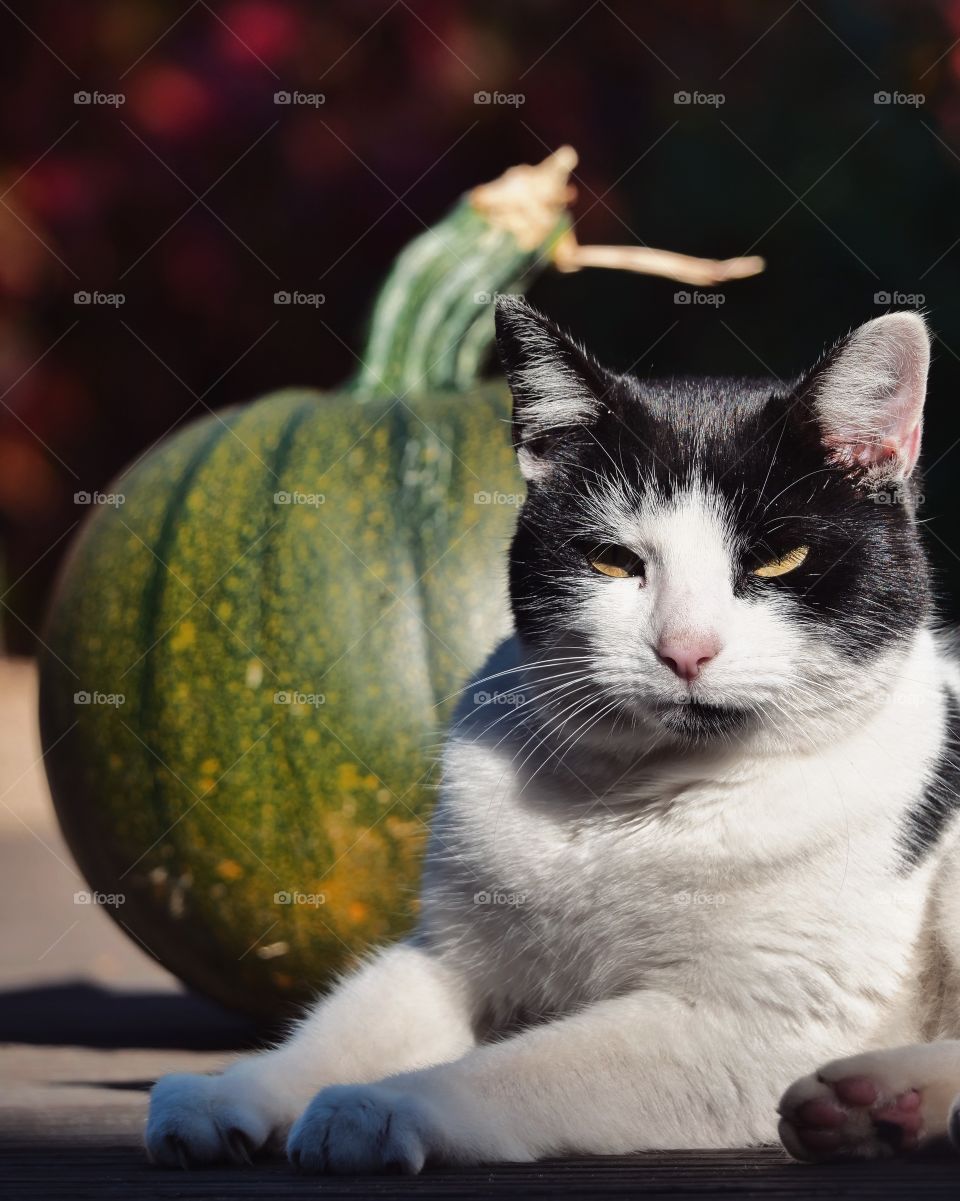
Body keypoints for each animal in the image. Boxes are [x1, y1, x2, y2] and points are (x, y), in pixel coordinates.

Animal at [140, 293, 960, 1172]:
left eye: (778, 560)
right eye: (613, 562)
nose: (685, 648)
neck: (629, 800)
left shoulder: (764, 1022)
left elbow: (526, 1064)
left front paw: (386, 1105)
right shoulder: (451, 959)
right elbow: (345, 1024)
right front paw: (232, 1091)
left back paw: (880, 1100)